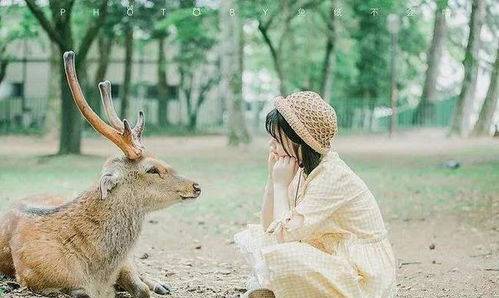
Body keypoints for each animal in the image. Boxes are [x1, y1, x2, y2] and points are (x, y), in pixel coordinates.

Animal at [0, 51, 203, 298]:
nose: (196, 186)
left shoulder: (122, 265)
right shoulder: (36, 279)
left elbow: (140, 288)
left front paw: (150, 286)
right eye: (152, 169)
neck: (95, 272)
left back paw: (161, 284)